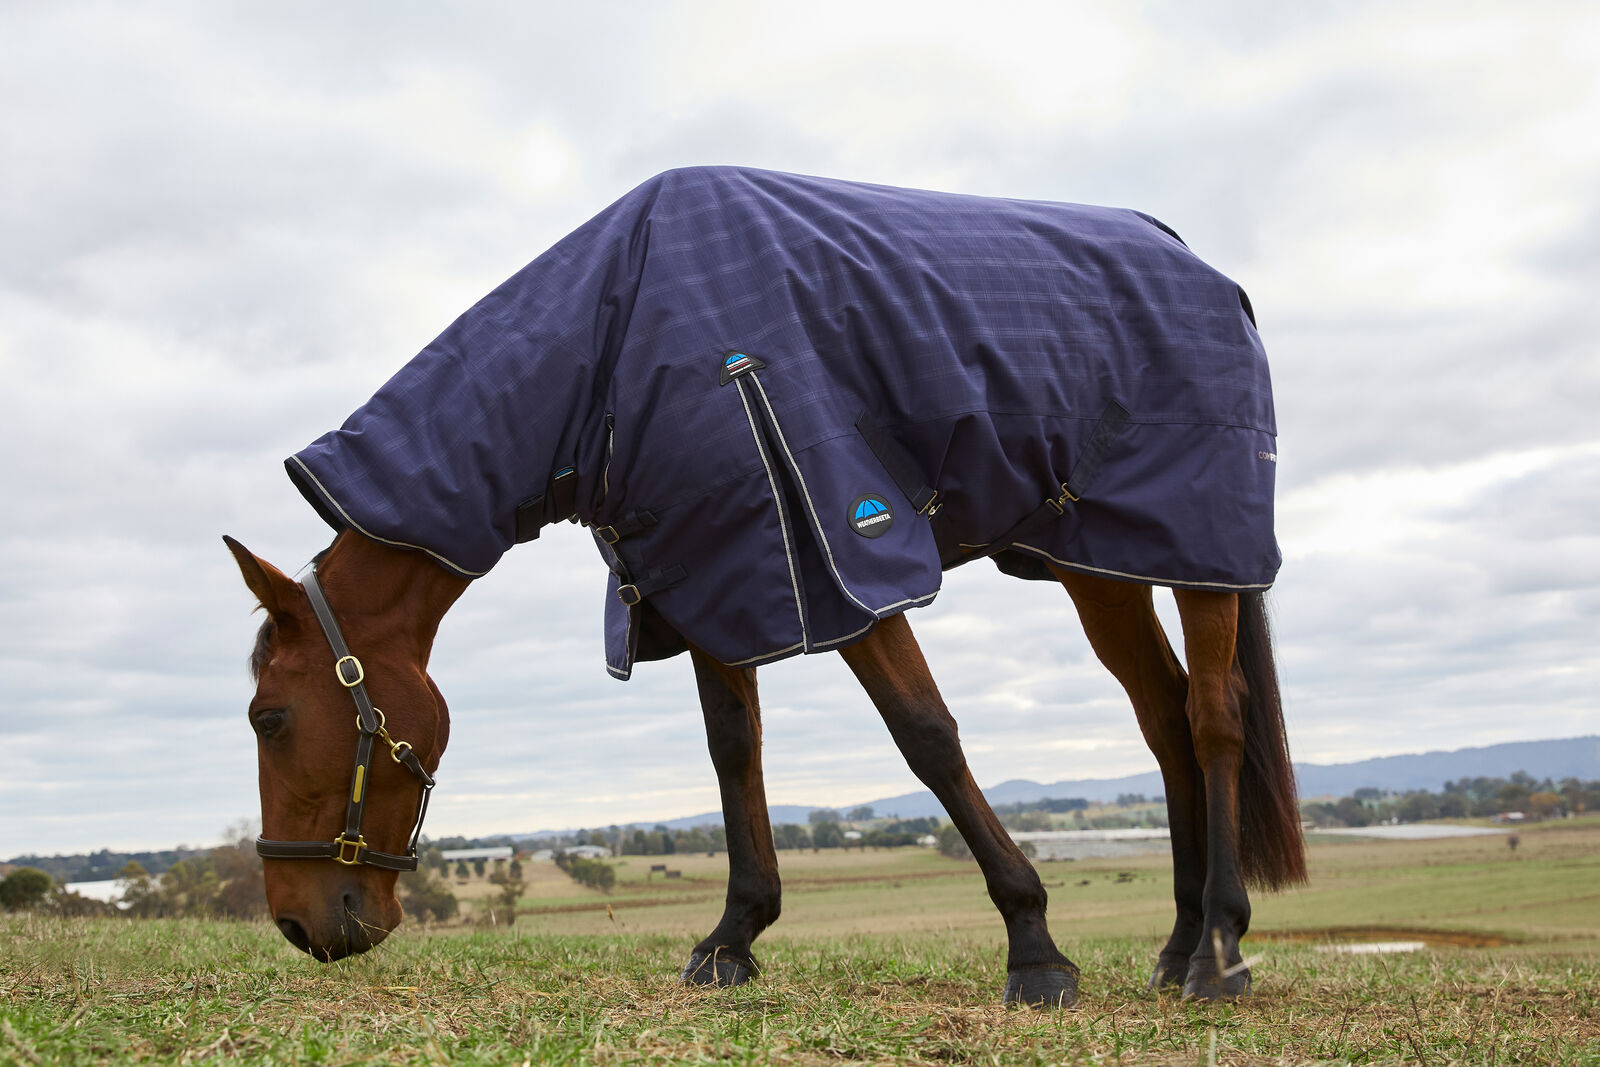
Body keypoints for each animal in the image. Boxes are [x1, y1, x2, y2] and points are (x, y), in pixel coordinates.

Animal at [225, 167, 1305, 1006]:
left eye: (268, 717)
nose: (297, 924)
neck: (613, 337)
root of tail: (1198, 265)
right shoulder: (711, 568)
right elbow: (732, 750)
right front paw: (732, 937)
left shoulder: (840, 552)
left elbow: (926, 737)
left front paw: (1034, 948)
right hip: (1107, 561)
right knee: (1163, 720)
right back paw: (1176, 945)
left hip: (1204, 549)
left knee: (1213, 715)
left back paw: (1216, 953)